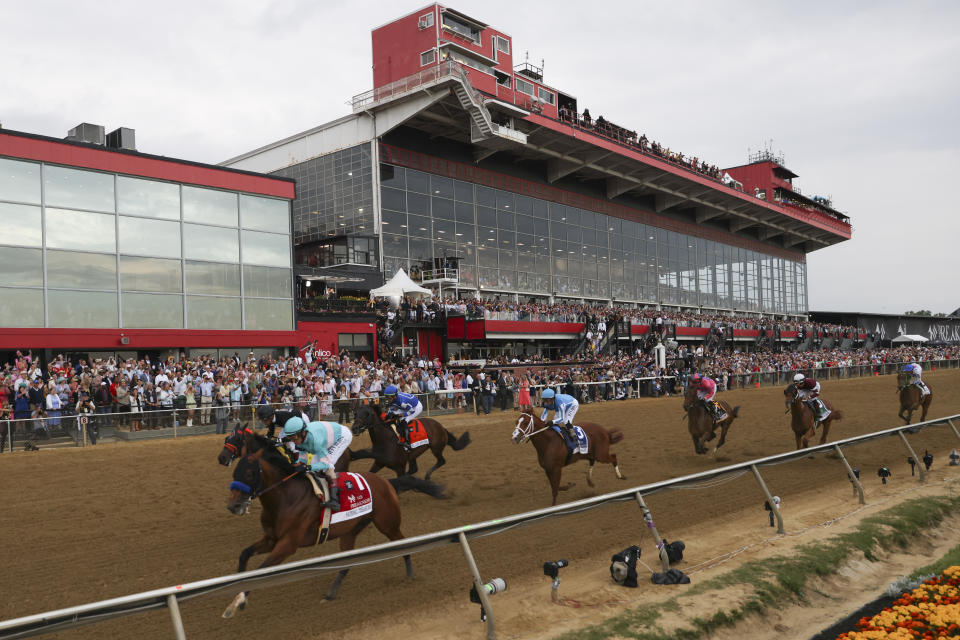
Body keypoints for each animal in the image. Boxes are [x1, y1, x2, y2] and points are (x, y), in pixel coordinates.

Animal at [221, 432, 442, 616]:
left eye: (250, 473)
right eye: (235, 473)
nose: (233, 506)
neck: (286, 497)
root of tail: (387, 483)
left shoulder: (288, 544)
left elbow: (260, 571)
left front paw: (236, 603)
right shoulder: (271, 538)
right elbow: (244, 554)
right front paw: (237, 594)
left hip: (387, 524)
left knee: (403, 543)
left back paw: (410, 576)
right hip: (351, 531)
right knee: (346, 563)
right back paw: (330, 594)